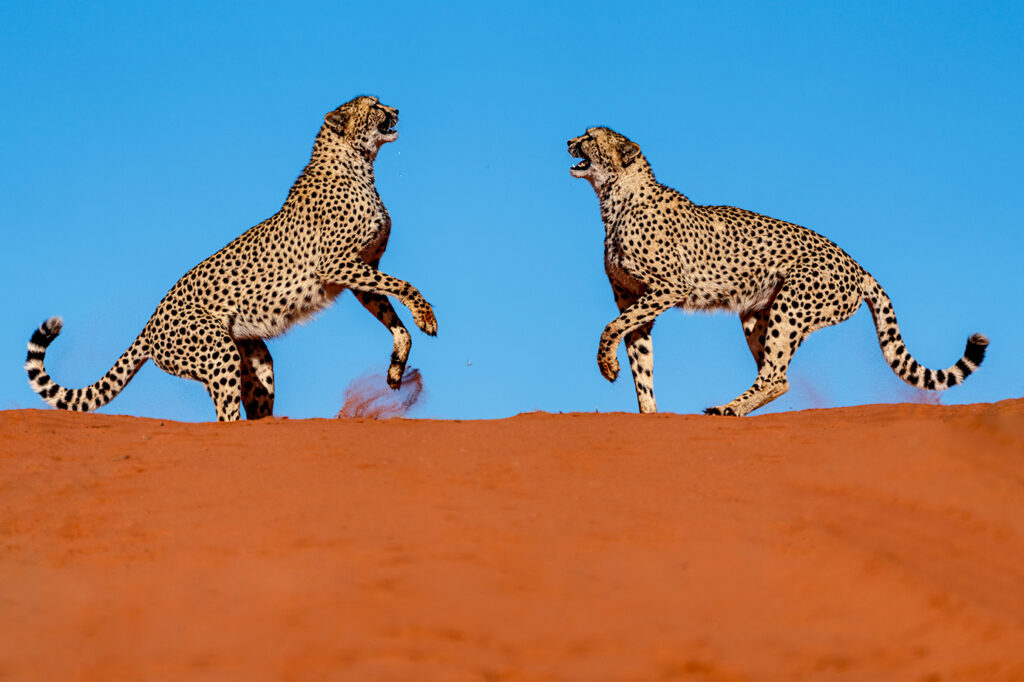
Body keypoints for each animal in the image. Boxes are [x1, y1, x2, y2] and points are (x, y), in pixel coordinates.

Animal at [27, 94, 436, 419]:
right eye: (373, 105)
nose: (396, 109)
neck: (357, 162)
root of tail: (152, 319)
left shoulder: (360, 271)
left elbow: (393, 317)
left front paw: (396, 368)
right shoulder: (337, 265)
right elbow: (406, 285)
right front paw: (427, 319)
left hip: (254, 357)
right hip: (219, 352)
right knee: (225, 417)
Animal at [573, 126, 987, 413]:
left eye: (590, 137)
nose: (568, 141)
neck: (614, 197)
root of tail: (856, 264)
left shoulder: (669, 288)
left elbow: (611, 328)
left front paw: (607, 365)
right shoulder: (634, 297)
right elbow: (641, 362)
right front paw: (649, 414)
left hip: (791, 306)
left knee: (775, 374)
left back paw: (728, 409)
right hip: (757, 313)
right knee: (778, 376)